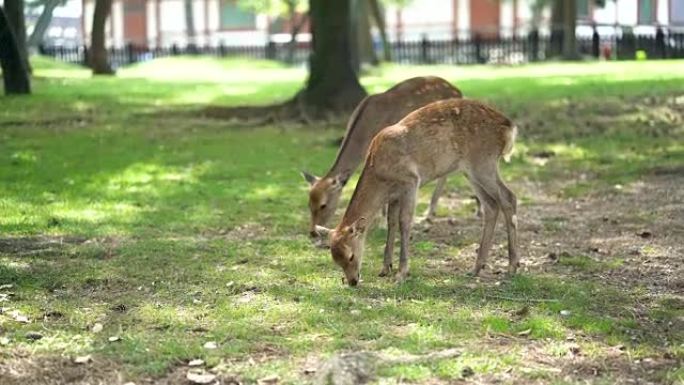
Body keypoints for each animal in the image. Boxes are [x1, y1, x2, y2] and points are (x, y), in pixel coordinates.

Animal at [302, 76, 478, 237]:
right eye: (309, 203)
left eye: (323, 205)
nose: (312, 232)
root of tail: (458, 90)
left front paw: (382, 225)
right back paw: (431, 214)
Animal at [316, 99, 520, 284]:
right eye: (335, 259)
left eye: (350, 255)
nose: (352, 281)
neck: (380, 176)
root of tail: (509, 127)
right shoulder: (394, 195)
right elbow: (391, 223)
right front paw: (385, 268)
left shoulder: (410, 181)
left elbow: (404, 222)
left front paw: (401, 273)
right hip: (470, 170)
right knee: (491, 205)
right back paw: (476, 268)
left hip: (483, 162)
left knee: (508, 197)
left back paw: (512, 267)